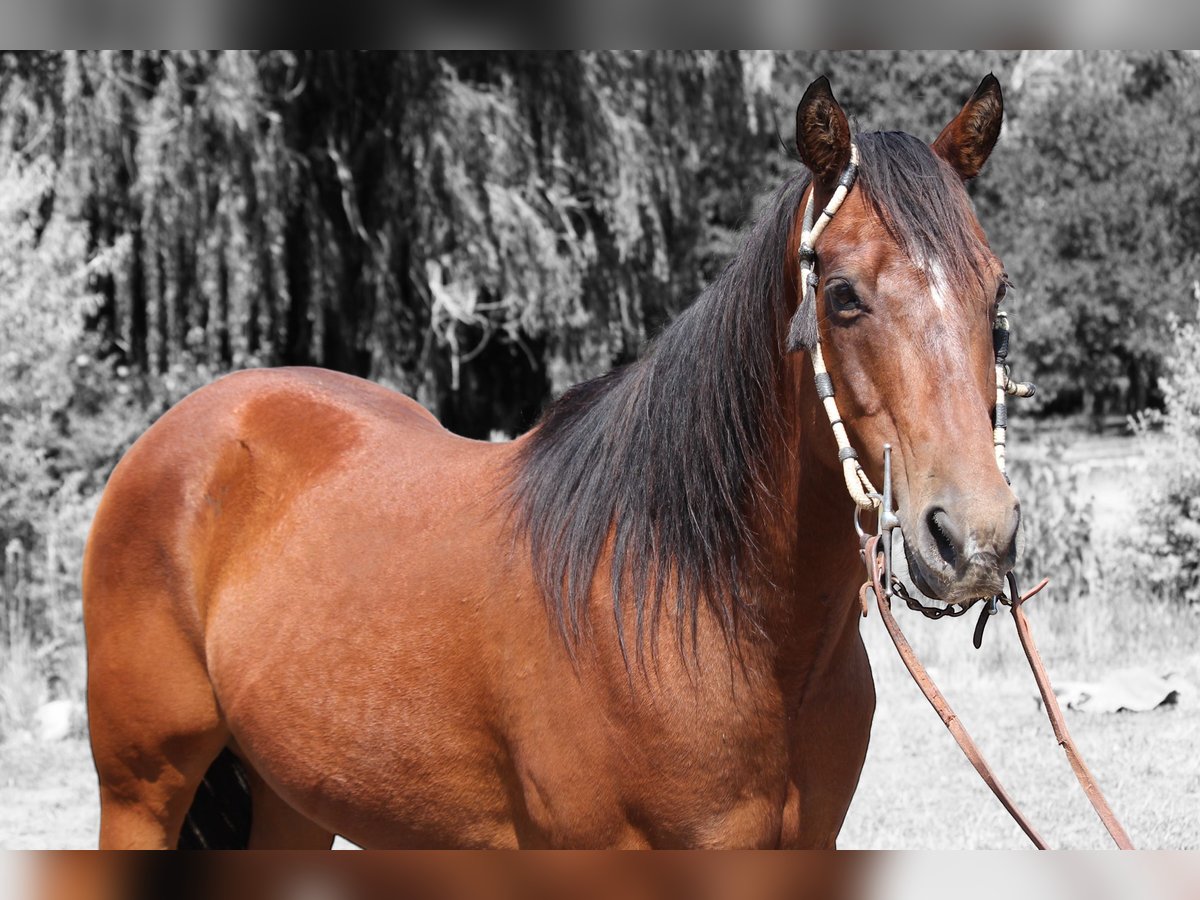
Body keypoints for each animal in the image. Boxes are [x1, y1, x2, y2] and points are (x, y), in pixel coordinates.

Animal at [83, 74, 1018, 849]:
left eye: (997, 290)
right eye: (843, 296)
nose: (973, 537)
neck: (693, 602)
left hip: (292, 803)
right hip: (142, 793)